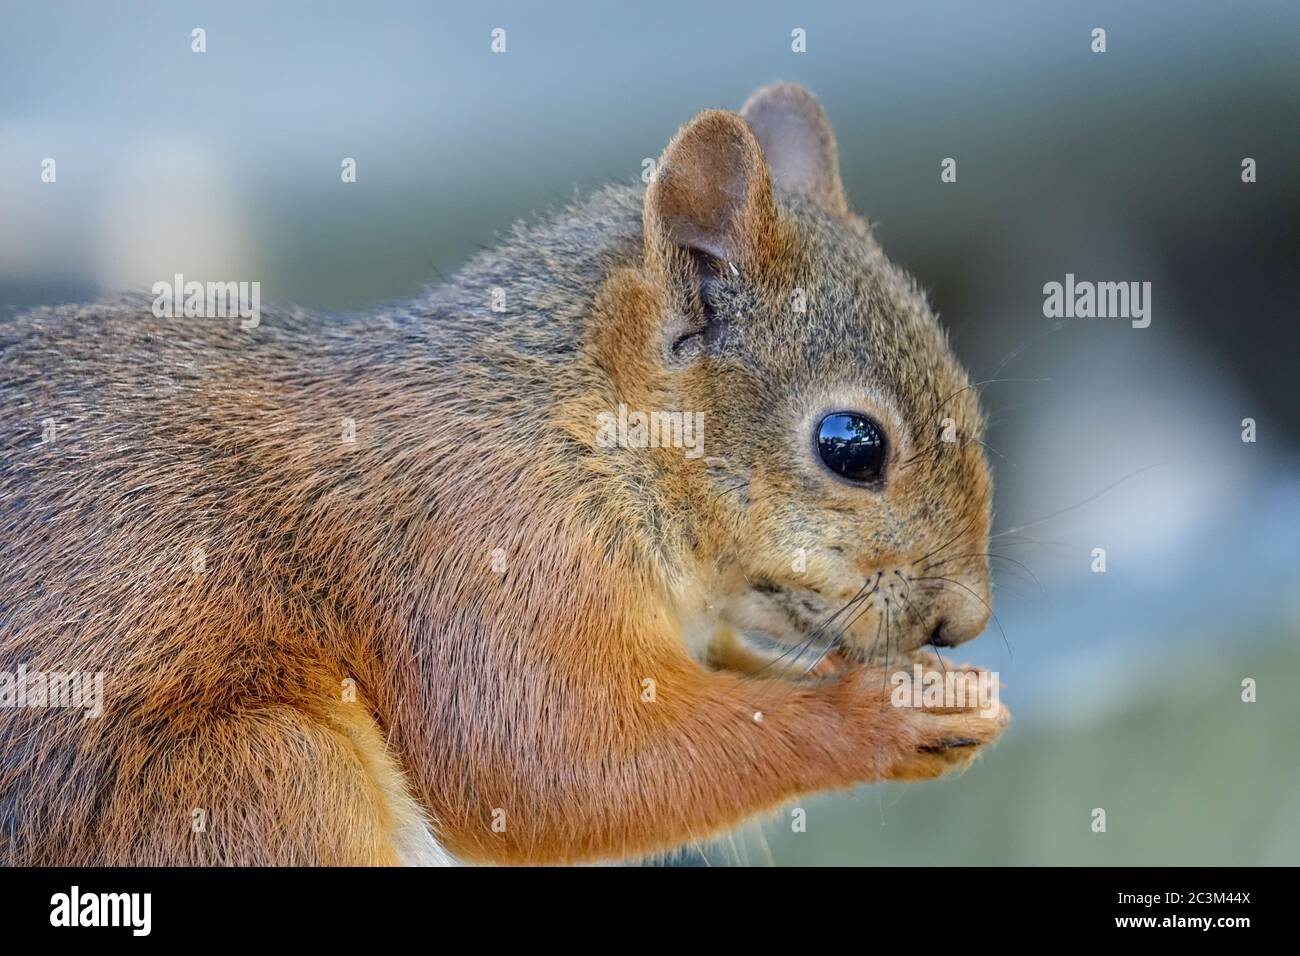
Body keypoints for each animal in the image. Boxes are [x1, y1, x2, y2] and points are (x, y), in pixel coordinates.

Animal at [0, 83, 1007, 866]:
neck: (579, 433)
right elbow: (550, 761)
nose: (963, 622)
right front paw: (881, 713)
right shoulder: (488, 558)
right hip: (265, 779)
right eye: (853, 446)